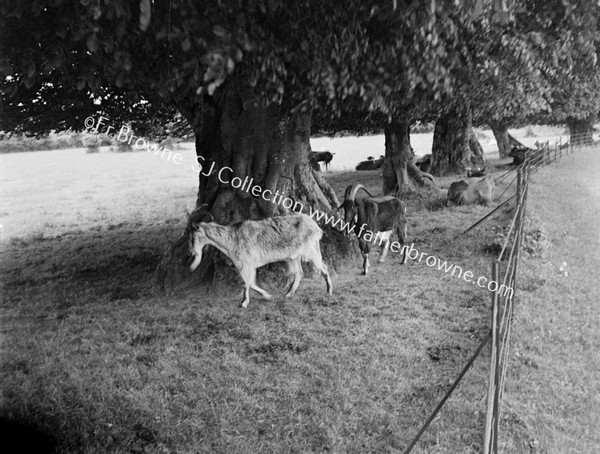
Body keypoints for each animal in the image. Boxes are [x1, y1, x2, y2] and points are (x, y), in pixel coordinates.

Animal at [188, 207, 332, 306]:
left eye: (193, 236)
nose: (190, 252)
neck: (231, 238)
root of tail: (315, 226)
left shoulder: (246, 264)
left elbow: (246, 283)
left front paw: (244, 303)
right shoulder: (250, 265)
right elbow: (251, 283)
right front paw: (267, 295)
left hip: (311, 250)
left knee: (324, 268)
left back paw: (329, 291)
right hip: (293, 257)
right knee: (299, 273)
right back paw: (287, 294)